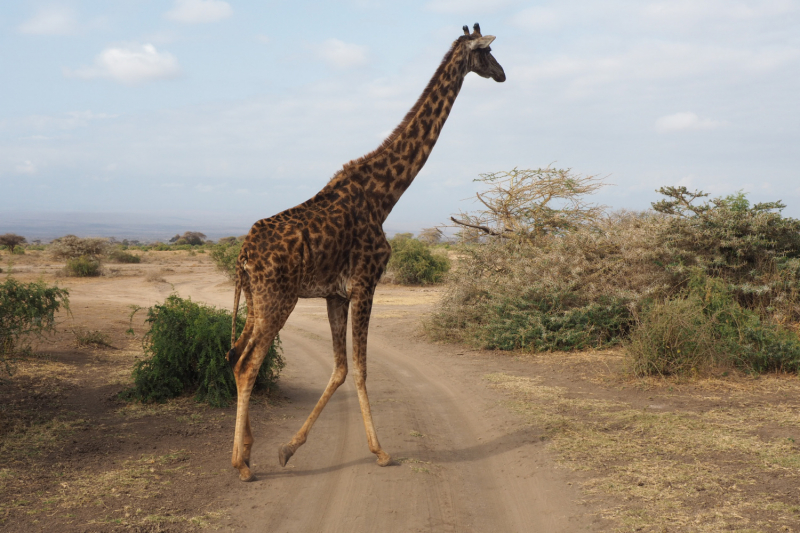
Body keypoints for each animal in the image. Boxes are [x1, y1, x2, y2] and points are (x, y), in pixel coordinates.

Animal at [225, 21, 504, 482]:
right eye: (487, 53)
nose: (502, 75)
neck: (384, 195)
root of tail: (243, 257)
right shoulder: (366, 282)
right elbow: (361, 368)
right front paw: (381, 452)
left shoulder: (336, 294)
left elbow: (340, 368)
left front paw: (288, 449)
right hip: (276, 299)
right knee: (248, 365)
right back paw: (241, 466)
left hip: (254, 302)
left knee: (234, 357)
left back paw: (247, 451)